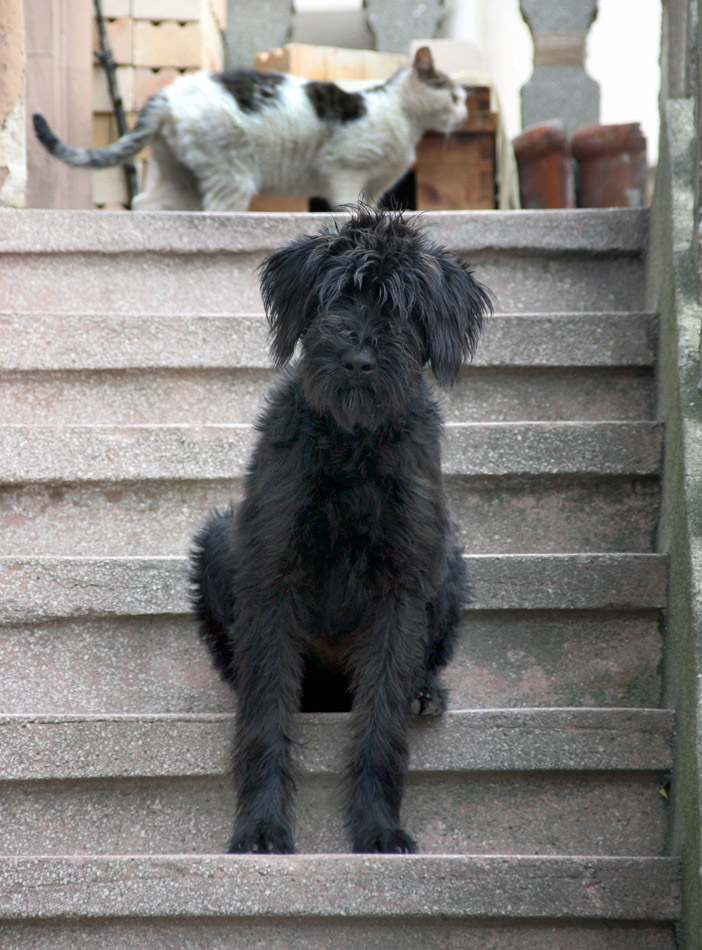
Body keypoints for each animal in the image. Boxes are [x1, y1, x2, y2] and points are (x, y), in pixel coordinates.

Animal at [32, 46, 467, 211]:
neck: (403, 119)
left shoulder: (373, 187)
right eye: (453, 96)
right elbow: (348, 208)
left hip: (179, 181)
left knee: (143, 203)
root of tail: (170, 91)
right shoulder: (344, 170)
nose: (464, 114)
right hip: (232, 177)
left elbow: (371, 210)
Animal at [190, 206, 493, 854]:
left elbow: (381, 726)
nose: (357, 361)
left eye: (403, 307)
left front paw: (379, 828)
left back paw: (425, 691)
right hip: (220, 544)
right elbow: (265, 721)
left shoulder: (402, 588)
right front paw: (261, 828)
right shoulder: (270, 578)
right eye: (336, 297)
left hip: (450, 566)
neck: (353, 446)